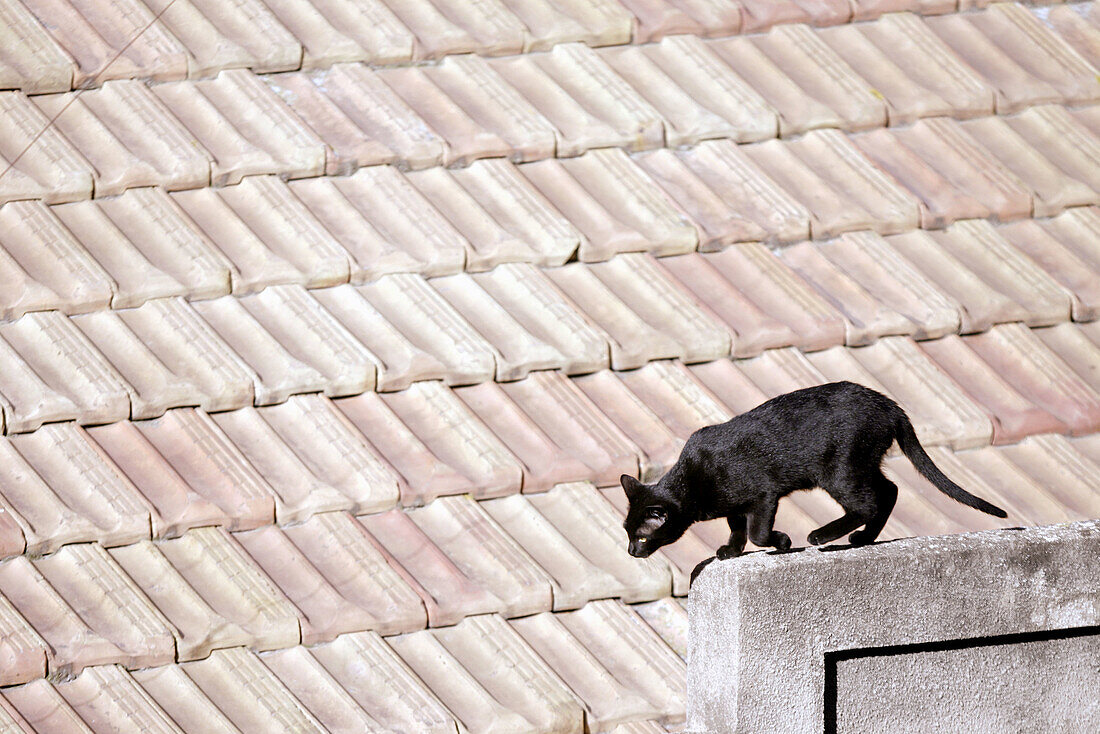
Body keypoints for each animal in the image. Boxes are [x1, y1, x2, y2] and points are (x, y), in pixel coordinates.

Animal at [620, 382, 1007, 559]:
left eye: (642, 537)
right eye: (627, 534)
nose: (630, 552)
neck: (692, 480)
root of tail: (889, 404)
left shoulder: (764, 495)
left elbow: (758, 532)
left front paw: (781, 542)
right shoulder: (737, 505)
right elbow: (737, 527)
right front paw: (731, 550)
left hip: (840, 472)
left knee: (869, 503)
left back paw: (823, 536)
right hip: (861, 466)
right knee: (890, 491)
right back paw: (863, 538)